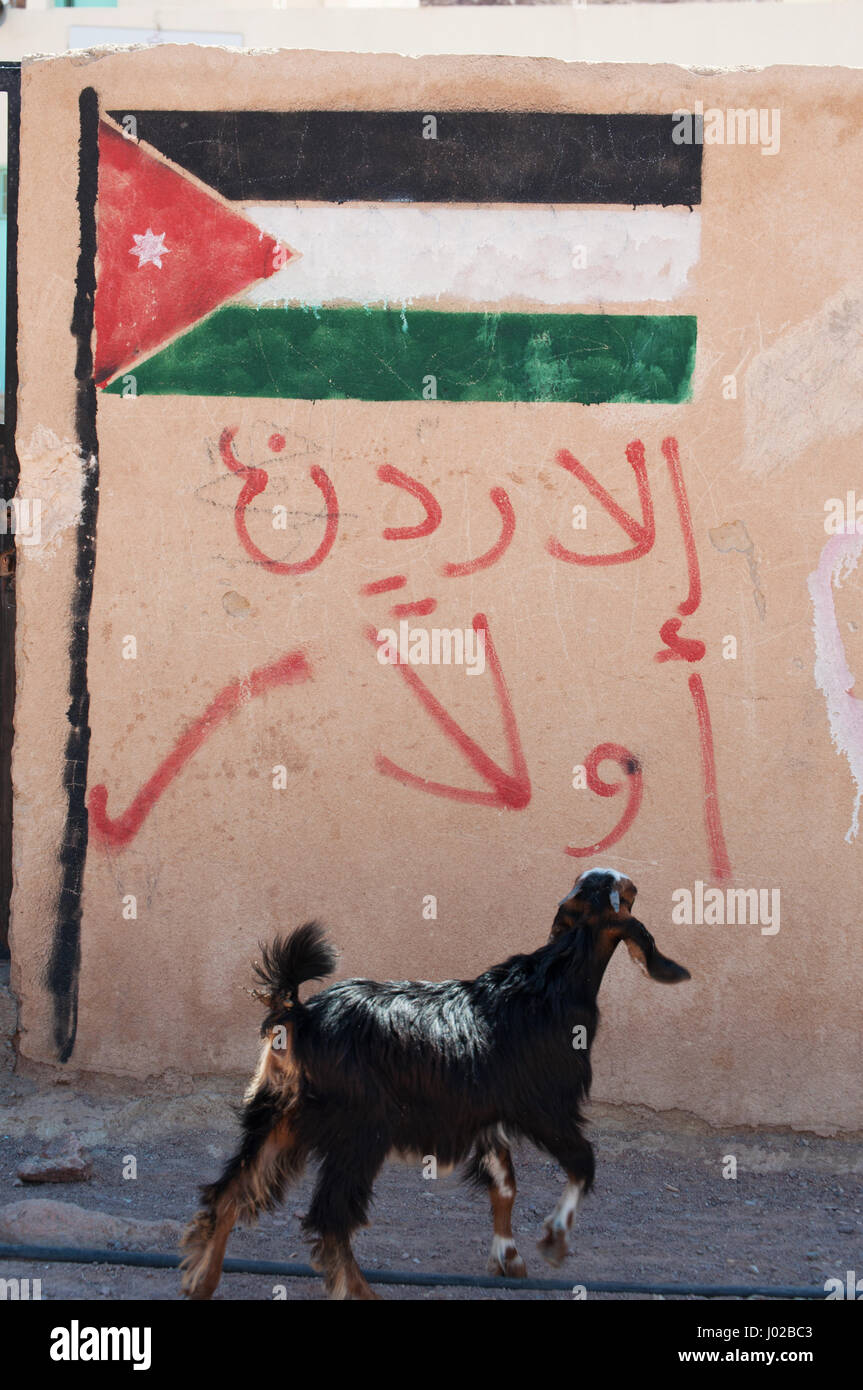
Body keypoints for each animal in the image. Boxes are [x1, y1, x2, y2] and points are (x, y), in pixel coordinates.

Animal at [180, 861, 686, 1295]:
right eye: (622, 893)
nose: (624, 874)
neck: (556, 976)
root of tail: (299, 1015)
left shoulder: (485, 1117)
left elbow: (504, 1185)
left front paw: (509, 1258)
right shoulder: (546, 1108)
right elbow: (583, 1163)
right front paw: (553, 1241)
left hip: (276, 1117)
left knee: (229, 1194)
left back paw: (201, 1282)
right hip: (362, 1128)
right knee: (330, 1219)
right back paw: (362, 1293)